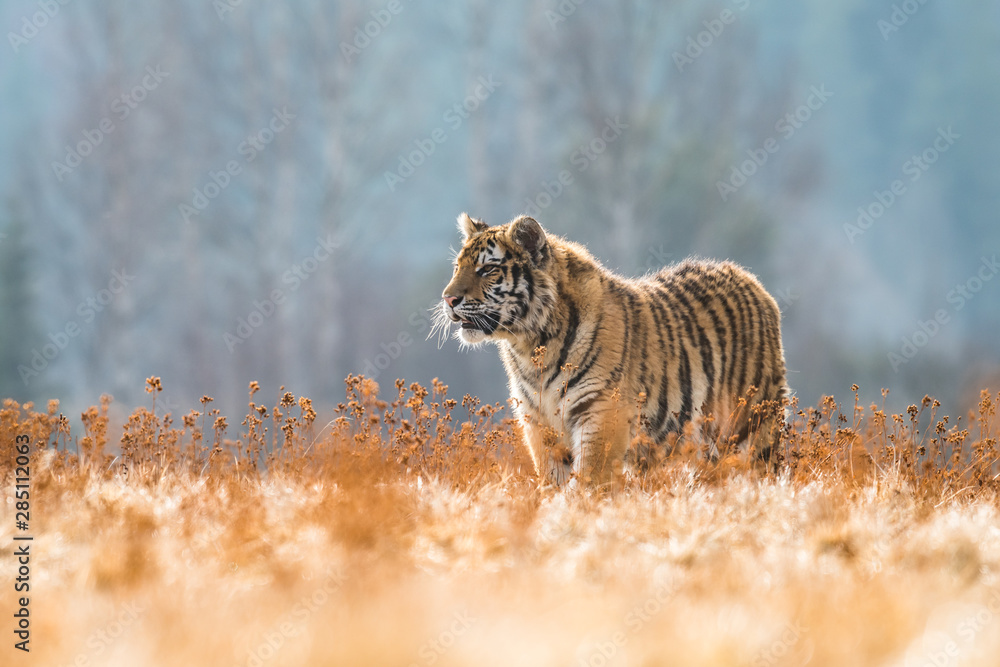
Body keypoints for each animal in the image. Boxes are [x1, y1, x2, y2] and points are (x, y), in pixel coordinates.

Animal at [433, 212, 788, 486]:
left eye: (488, 269)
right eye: (457, 267)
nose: (448, 299)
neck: (530, 346)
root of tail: (751, 280)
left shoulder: (600, 414)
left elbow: (587, 483)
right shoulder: (537, 424)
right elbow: (552, 482)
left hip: (753, 426)